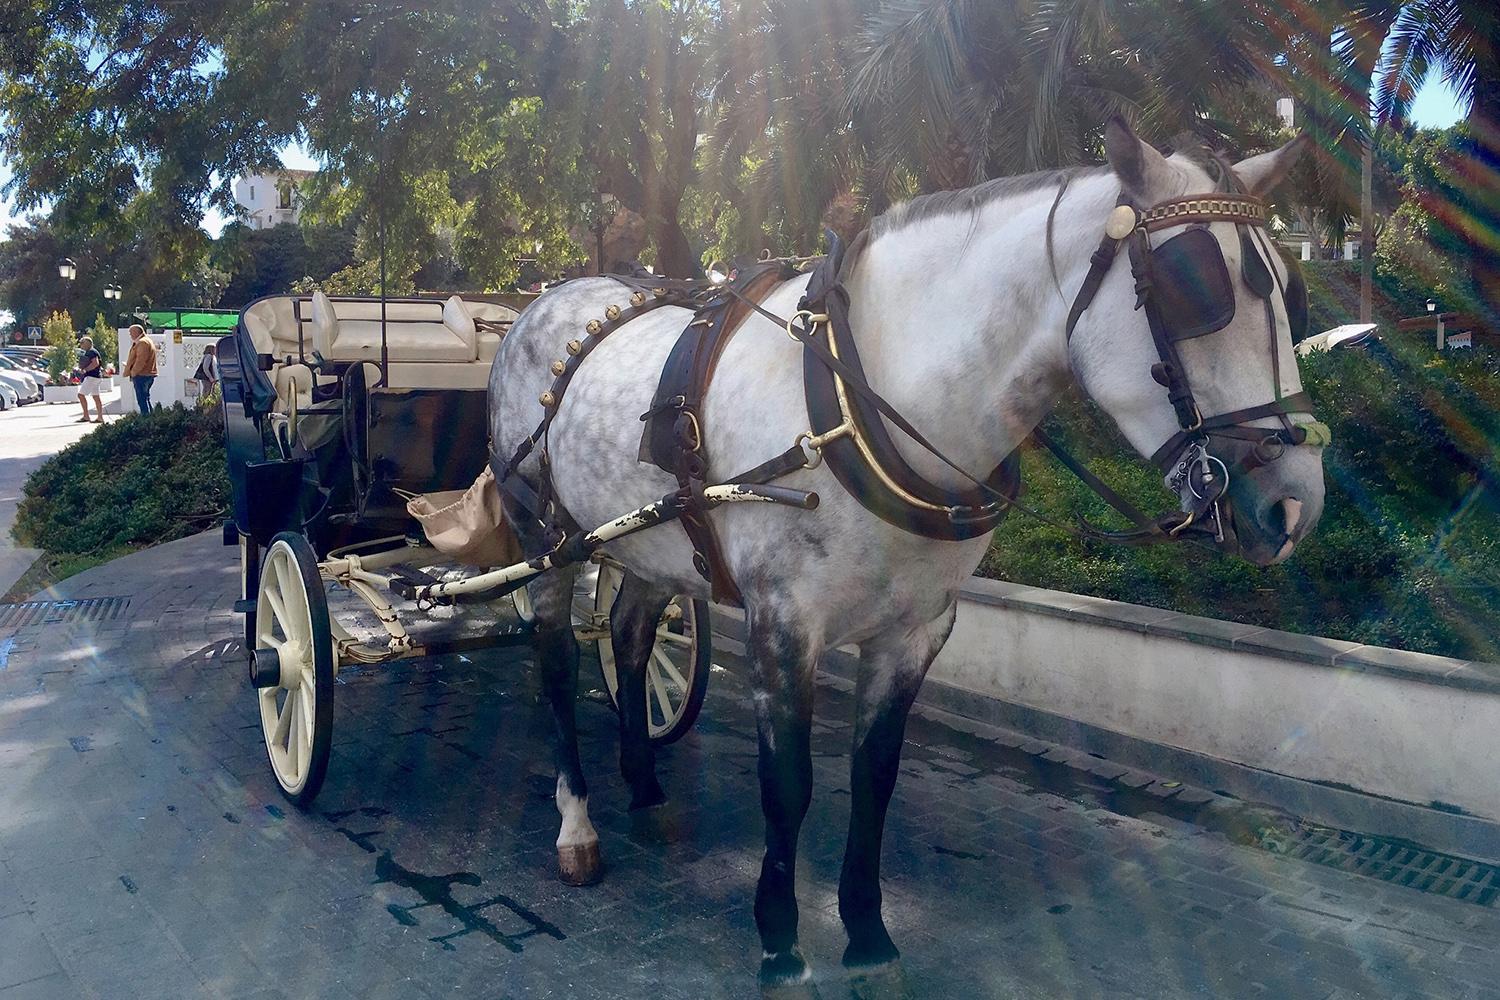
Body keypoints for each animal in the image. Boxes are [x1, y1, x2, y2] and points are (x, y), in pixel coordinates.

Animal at [486, 121, 1320, 989]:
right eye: (1195, 289)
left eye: (1290, 294)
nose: (1295, 503)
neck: (862, 401)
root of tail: (540, 303)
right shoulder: (783, 625)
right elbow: (789, 785)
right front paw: (780, 938)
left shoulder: (917, 629)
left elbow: (874, 775)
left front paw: (865, 930)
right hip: (547, 538)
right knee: (555, 661)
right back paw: (577, 824)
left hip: (651, 541)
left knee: (628, 631)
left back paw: (644, 781)